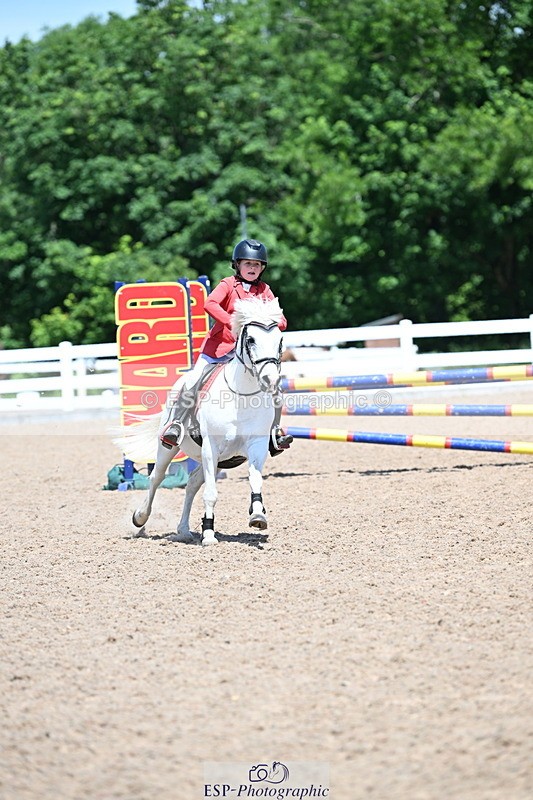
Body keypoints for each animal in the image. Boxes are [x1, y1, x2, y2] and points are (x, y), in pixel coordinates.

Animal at [114, 297, 285, 546]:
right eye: (251, 339)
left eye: (280, 341)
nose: (270, 379)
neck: (241, 397)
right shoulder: (210, 447)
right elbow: (211, 494)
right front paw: (209, 535)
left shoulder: (257, 446)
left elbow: (255, 480)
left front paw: (257, 516)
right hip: (170, 447)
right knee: (157, 477)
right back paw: (141, 517)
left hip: (217, 460)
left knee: (192, 483)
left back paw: (184, 529)